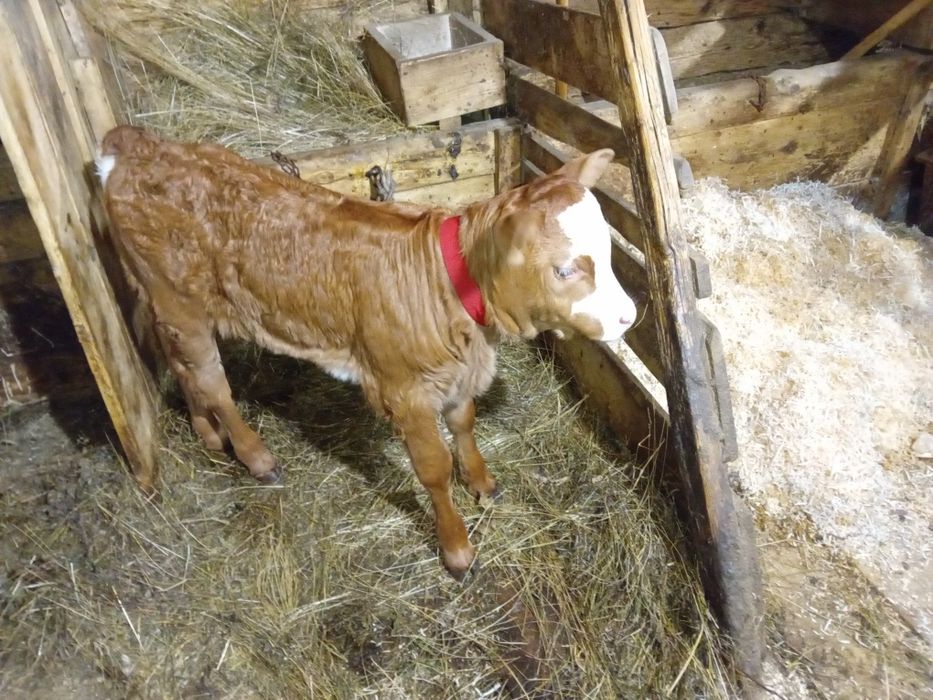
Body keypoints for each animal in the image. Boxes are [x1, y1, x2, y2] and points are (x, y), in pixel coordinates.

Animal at [97, 125, 636, 578]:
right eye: (565, 268)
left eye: (609, 251)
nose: (630, 317)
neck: (446, 286)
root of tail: (134, 144)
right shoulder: (404, 389)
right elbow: (433, 469)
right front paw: (457, 550)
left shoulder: (457, 372)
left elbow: (463, 423)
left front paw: (482, 481)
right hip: (178, 300)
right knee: (212, 381)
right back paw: (255, 456)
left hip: (166, 303)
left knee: (181, 366)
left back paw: (207, 433)